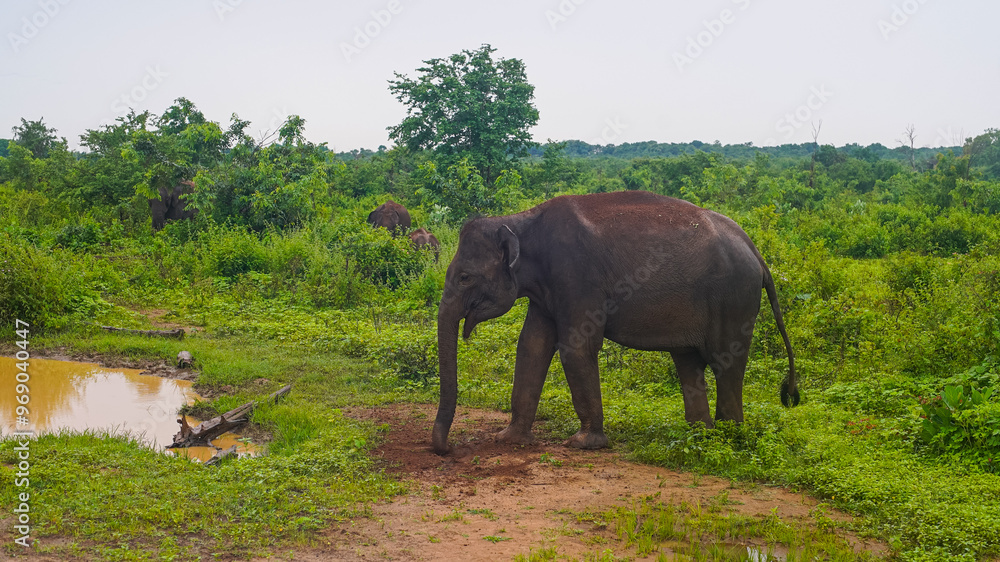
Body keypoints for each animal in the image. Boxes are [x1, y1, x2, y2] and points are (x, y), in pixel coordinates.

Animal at [432, 190, 798, 455]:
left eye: (464, 277)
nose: (446, 449)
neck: (521, 222)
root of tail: (754, 249)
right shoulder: (547, 290)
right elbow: (532, 346)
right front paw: (509, 439)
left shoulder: (576, 276)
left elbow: (576, 346)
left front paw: (584, 444)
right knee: (688, 361)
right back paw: (697, 435)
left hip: (734, 298)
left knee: (726, 363)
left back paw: (726, 437)